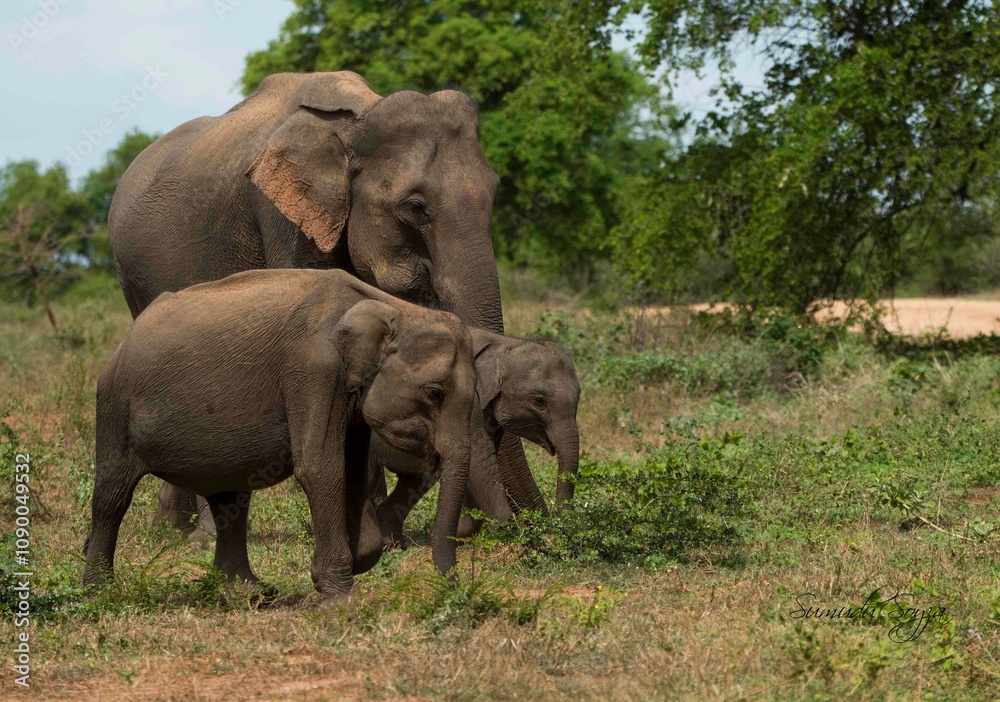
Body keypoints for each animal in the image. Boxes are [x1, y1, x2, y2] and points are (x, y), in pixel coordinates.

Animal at [83, 269, 476, 602]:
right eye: (435, 392)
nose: (452, 584)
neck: (391, 307)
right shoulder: (313, 368)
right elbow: (321, 467)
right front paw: (339, 598)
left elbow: (351, 470)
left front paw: (337, 568)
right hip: (115, 404)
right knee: (112, 496)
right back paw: (99, 593)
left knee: (231, 498)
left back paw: (249, 592)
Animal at [108, 70, 544, 537]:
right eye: (414, 206)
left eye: (495, 193)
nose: (526, 522)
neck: (361, 117)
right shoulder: (283, 216)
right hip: (133, 279)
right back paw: (190, 531)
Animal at [371, 331, 581, 548]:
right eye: (539, 401)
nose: (560, 534)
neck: (504, 344)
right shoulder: (464, 405)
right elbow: (480, 464)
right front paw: (509, 537)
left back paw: (394, 547)